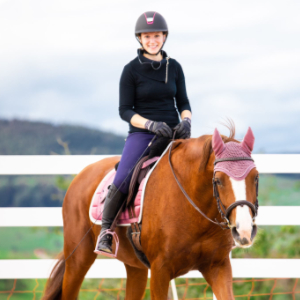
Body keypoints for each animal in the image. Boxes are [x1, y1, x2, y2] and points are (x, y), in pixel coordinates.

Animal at [43, 125, 258, 298]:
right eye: (218, 180)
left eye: (255, 177)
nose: (244, 230)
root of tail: (82, 174)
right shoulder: (160, 270)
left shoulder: (218, 266)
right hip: (78, 259)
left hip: (134, 266)